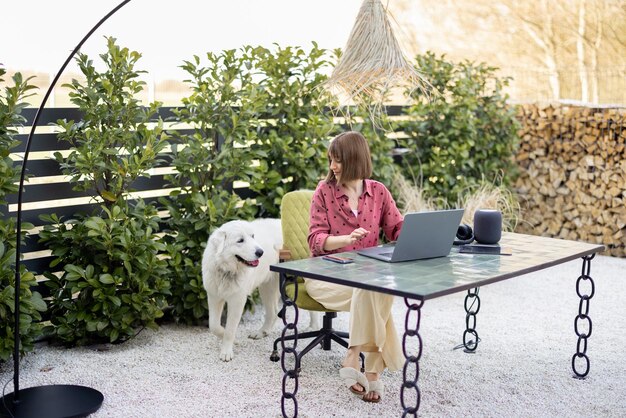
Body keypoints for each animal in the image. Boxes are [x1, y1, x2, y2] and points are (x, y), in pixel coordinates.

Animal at [202, 219, 320, 362]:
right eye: (240, 240)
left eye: (253, 236)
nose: (260, 252)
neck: (227, 271)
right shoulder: (214, 297)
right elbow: (213, 325)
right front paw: (232, 340)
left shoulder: (237, 301)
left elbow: (230, 330)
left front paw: (227, 350)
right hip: (267, 287)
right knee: (273, 312)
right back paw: (262, 332)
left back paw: (313, 327)